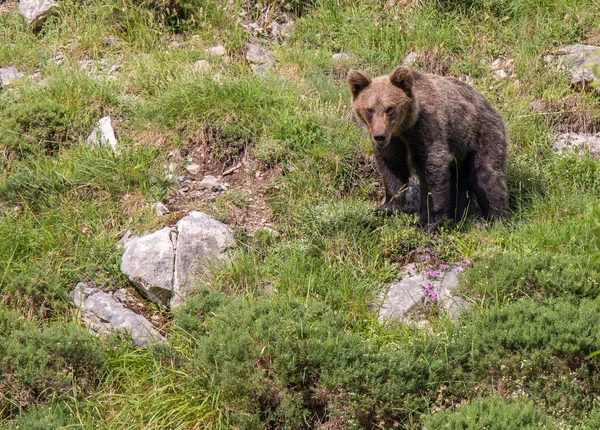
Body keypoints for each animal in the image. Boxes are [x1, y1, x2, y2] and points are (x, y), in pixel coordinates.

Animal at [346, 66, 506, 228]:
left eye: (390, 108)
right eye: (369, 109)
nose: (379, 136)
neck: (404, 129)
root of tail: (491, 106)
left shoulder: (427, 129)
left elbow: (432, 170)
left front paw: (429, 222)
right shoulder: (393, 142)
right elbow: (393, 168)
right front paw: (386, 208)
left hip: (481, 136)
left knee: (487, 176)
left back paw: (495, 218)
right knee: (458, 181)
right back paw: (457, 216)